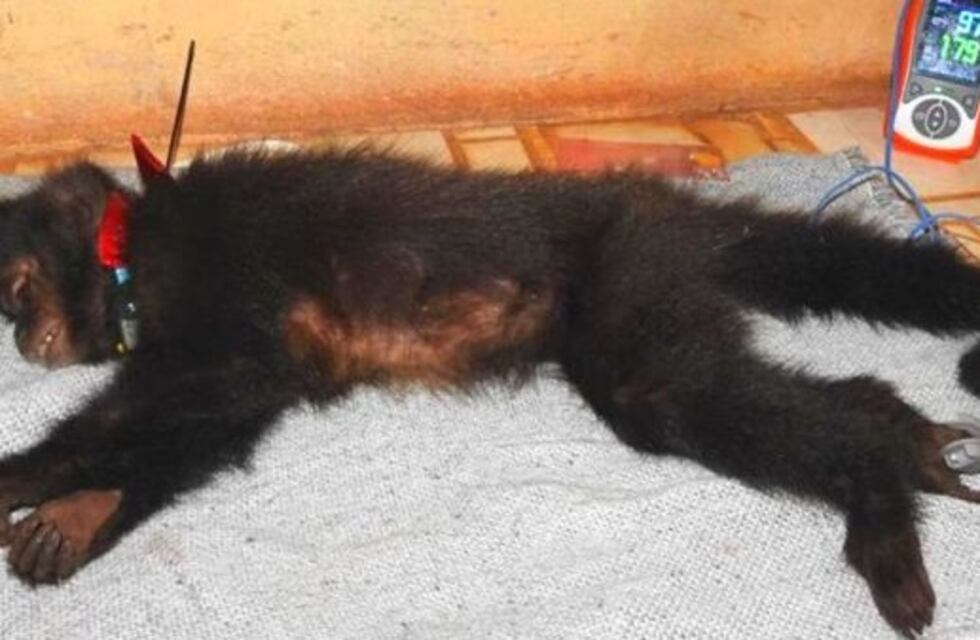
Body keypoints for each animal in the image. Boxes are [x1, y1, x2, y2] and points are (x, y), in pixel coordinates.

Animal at [0, 145, 978, 637]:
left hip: (632, 261)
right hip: (661, 278)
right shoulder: (242, 361)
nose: (17, 335)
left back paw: (880, 494)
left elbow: (198, 386)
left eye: (14, 291)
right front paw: (80, 515)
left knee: (660, 391)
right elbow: (212, 420)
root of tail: (670, 210)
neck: (133, 252)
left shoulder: (220, 269)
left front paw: (26, 477)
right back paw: (896, 429)